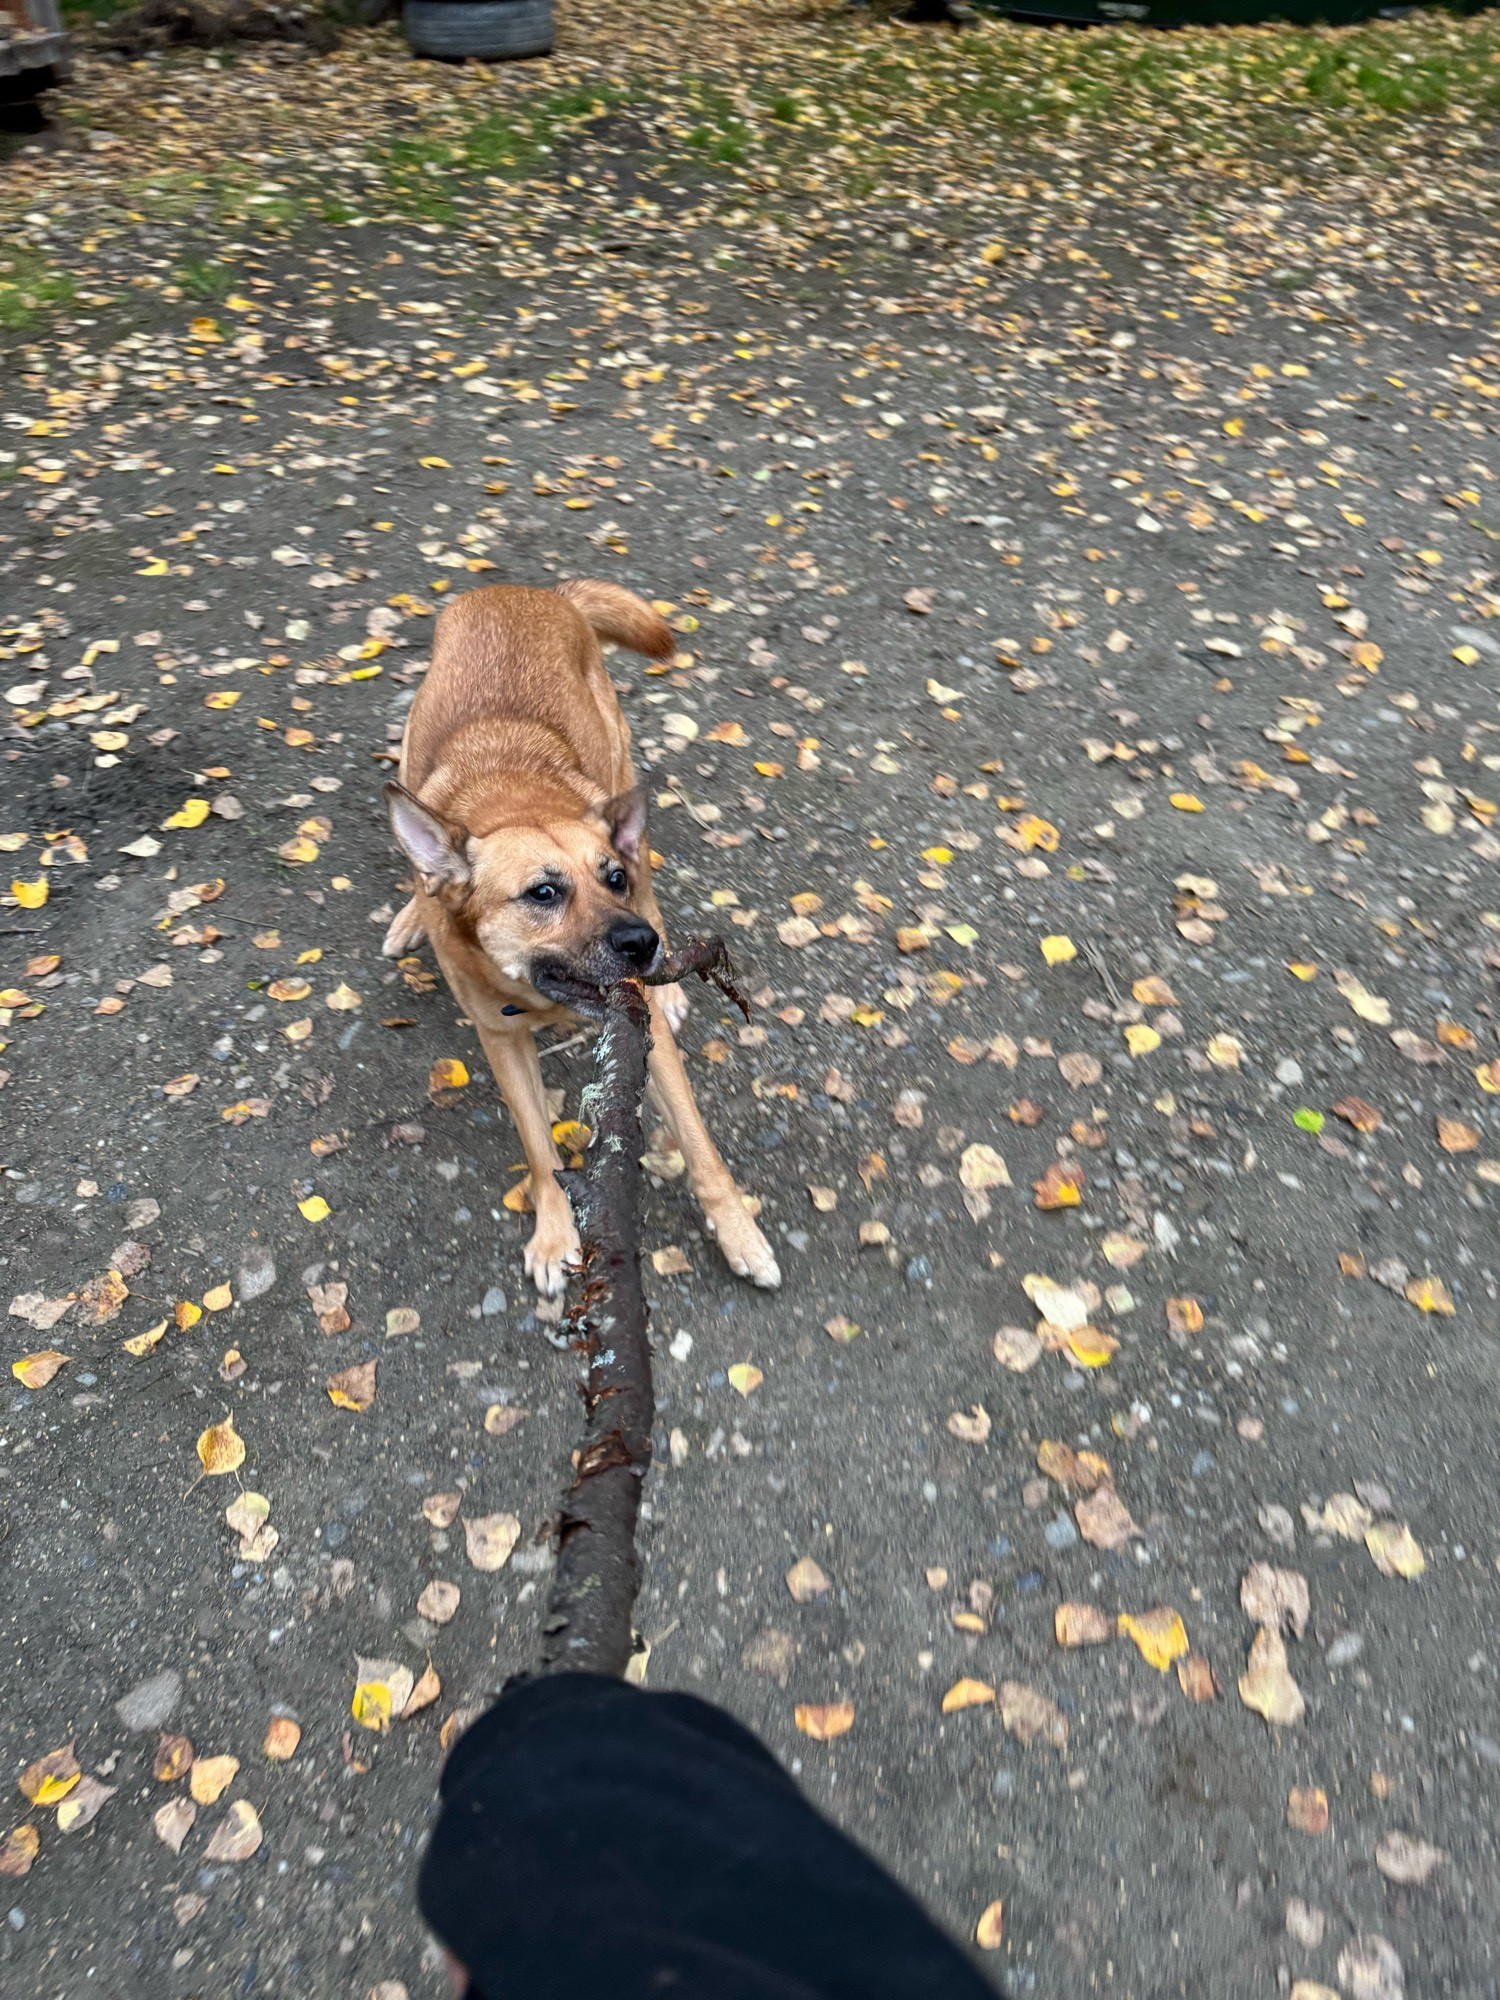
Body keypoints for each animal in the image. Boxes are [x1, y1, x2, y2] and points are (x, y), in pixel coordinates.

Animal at [382, 580, 780, 1296]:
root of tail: (525, 589)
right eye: (543, 894)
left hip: (624, 788)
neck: (512, 799)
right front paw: (553, 1235)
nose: (641, 946)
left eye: (610, 878)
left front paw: (739, 1233)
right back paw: (412, 914)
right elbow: (539, 1148)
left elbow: (699, 1144)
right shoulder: (501, 1040)